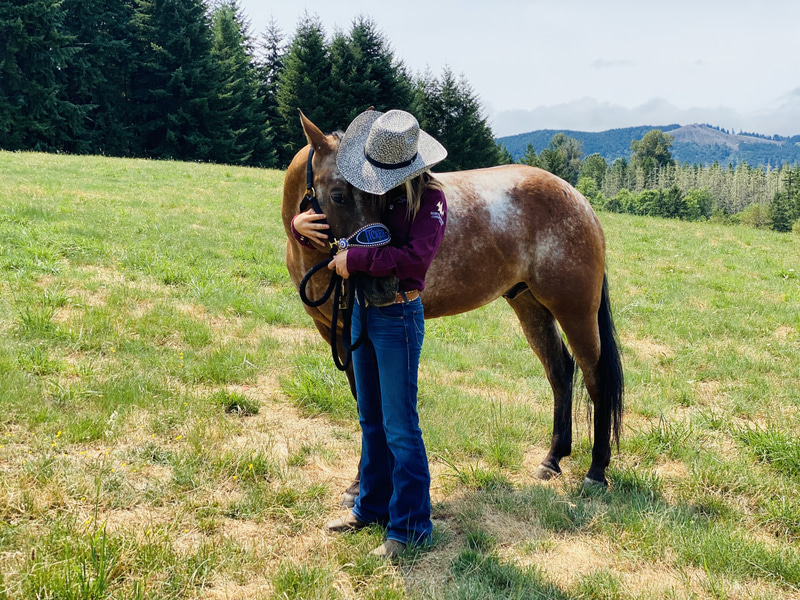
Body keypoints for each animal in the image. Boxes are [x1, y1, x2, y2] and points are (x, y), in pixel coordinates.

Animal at [282, 112, 624, 502]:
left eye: (383, 201)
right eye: (338, 195)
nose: (382, 286)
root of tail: (579, 200)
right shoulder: (335, 332)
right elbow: (364, 402)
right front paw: (365, 484)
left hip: (575, 312)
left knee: (596, 377)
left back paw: (596, 470)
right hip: (530, 307)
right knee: (561, 371)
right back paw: (552, 459)